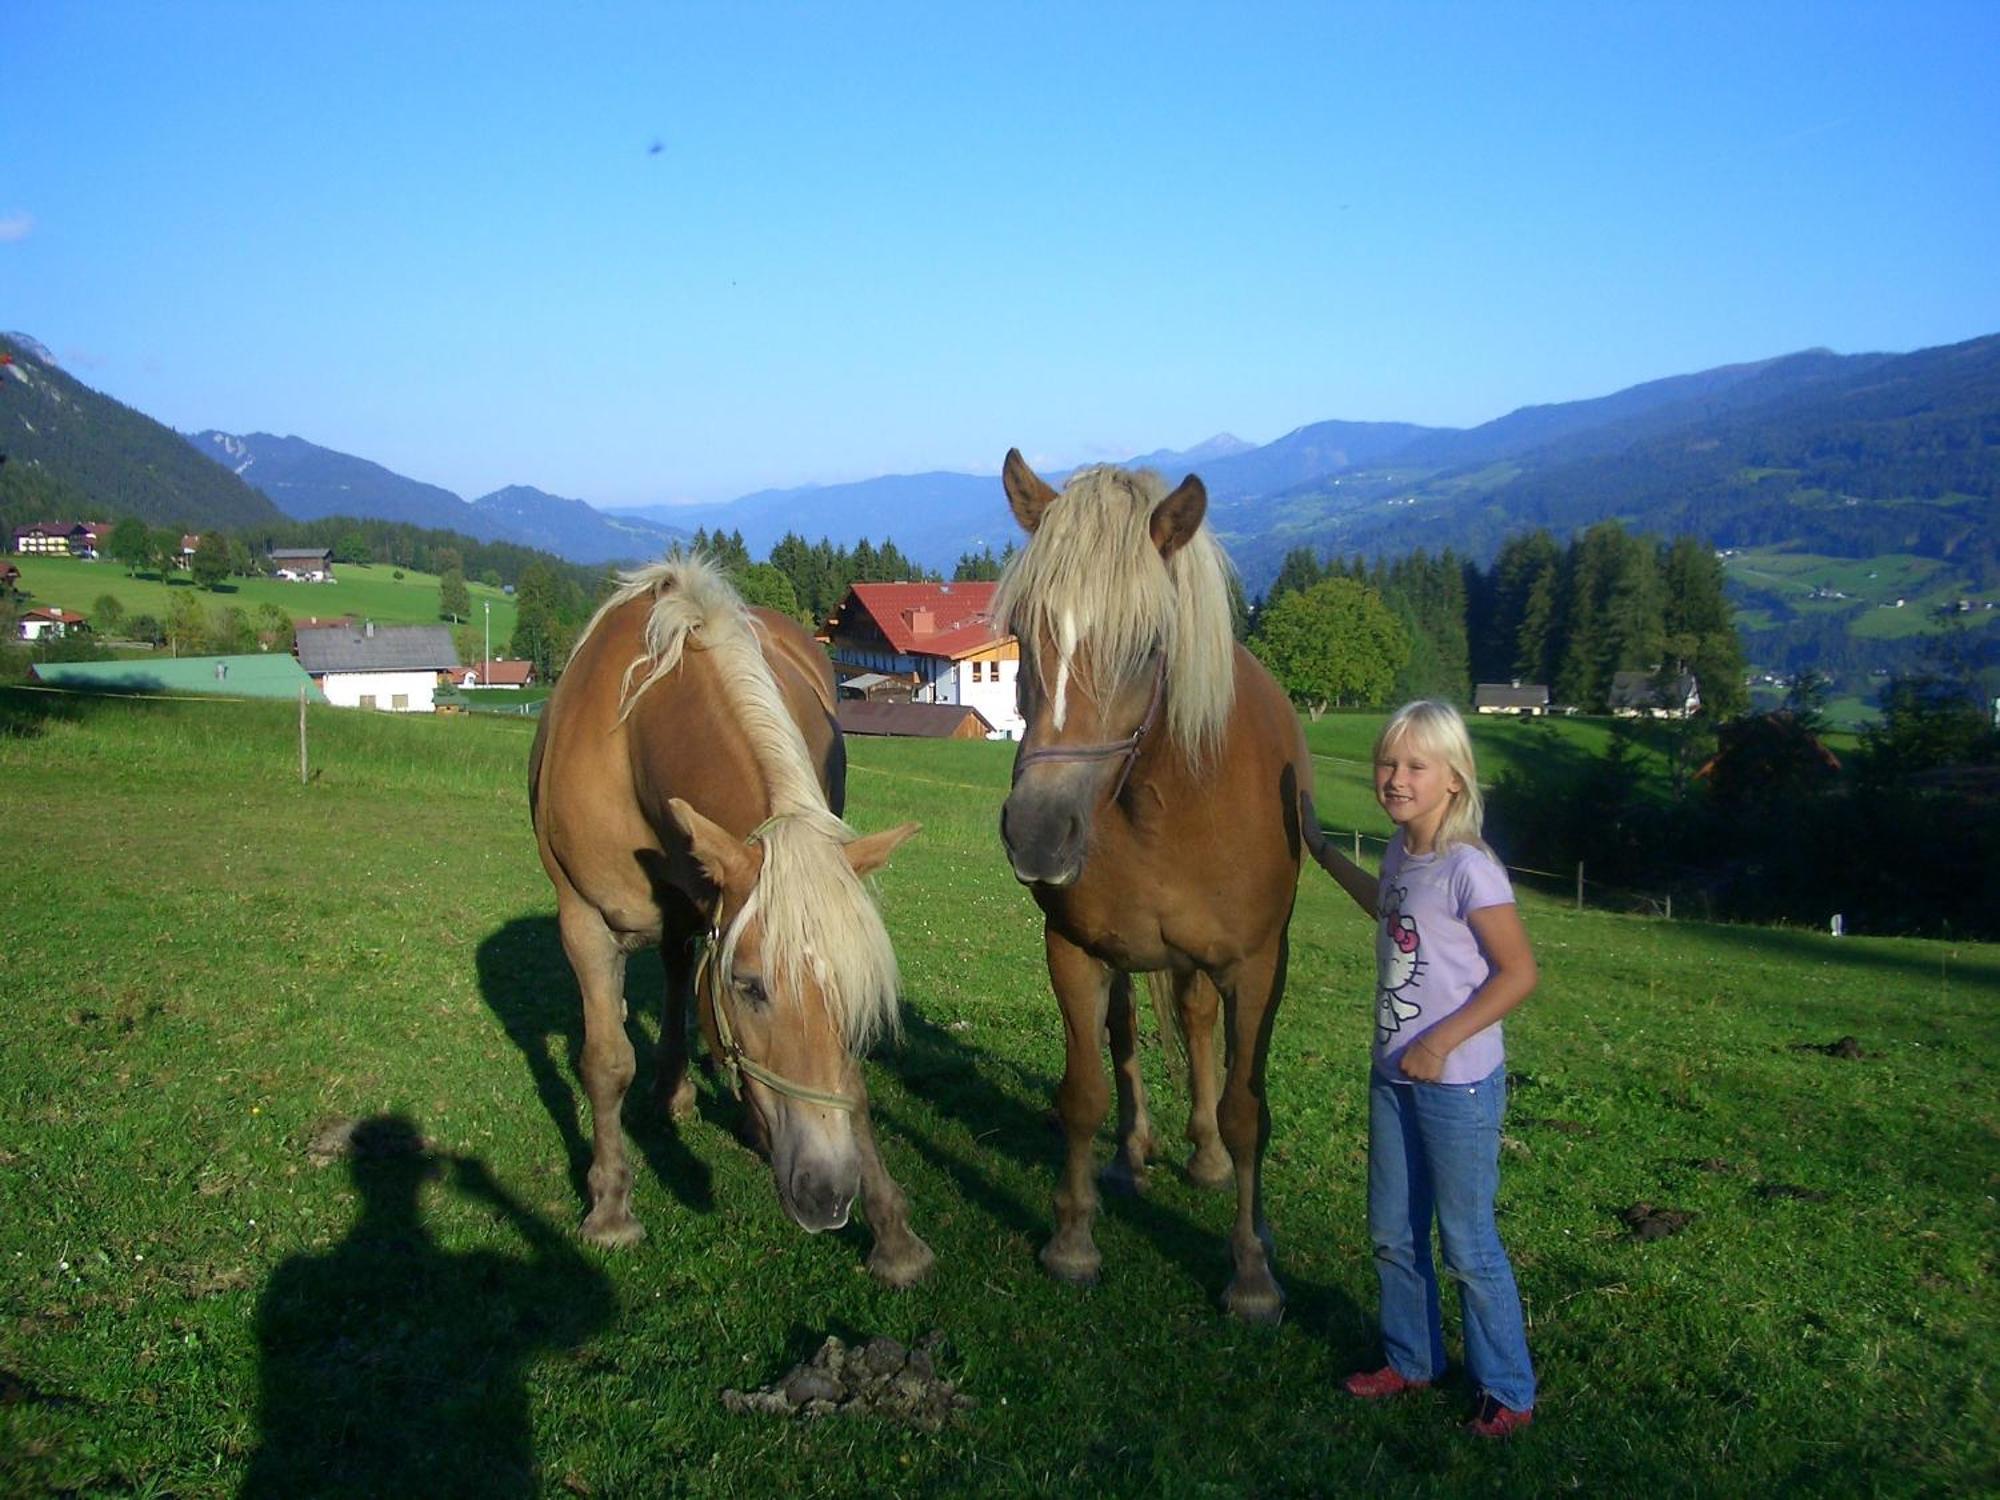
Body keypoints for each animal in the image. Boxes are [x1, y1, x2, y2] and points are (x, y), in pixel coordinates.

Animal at [532, 560, 936, 1288]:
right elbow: (606, 1061)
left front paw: (893, 1235)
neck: (636, 739)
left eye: (855, 991)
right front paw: (609, 1207)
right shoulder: (584, 922)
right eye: (749, 986)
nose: (829, 1194)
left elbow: (850, 1082)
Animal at [996, 450, 1312, 1328]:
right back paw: (1134, 1155)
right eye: (1022, 632)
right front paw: (1073, 1240)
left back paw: (1204, 1159)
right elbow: (1083, 1092)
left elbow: (1245, 1111)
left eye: (1148, 646)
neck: (1168, 804)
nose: (1037, 833)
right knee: (1131, 1034)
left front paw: (1251, 1271)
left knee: (1199, 1030)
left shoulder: (1256, 967)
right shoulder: (1073, 950)